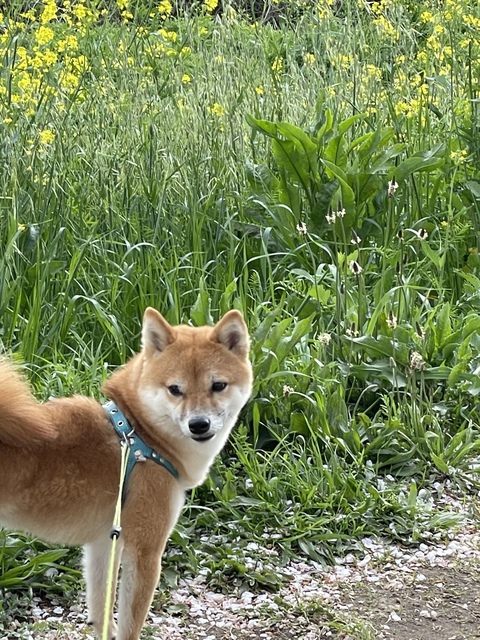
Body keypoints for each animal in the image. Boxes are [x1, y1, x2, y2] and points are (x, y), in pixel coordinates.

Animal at [0, 308, 255, 636]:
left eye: (218, 385)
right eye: (175, 389)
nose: (199, 424)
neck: (141, 437)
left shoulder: (104, 543)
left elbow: (102, 610)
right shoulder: (145, 550)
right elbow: (130, 624)